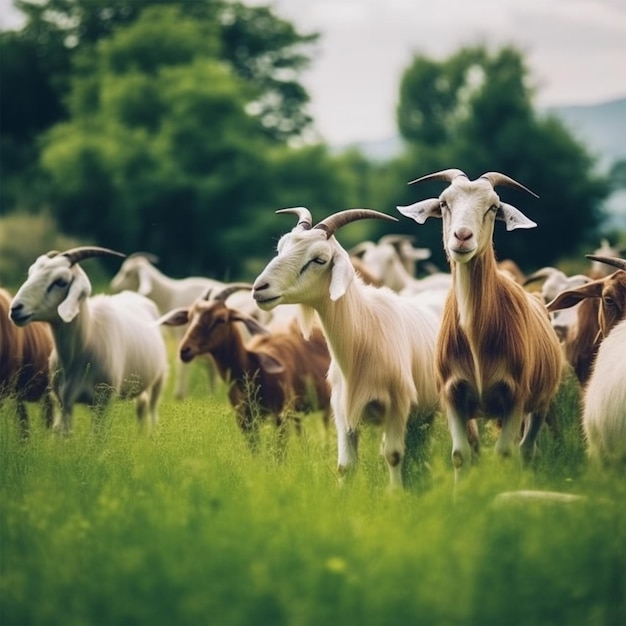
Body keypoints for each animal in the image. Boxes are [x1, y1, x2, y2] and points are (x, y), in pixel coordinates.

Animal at [9, 246, 168, 432]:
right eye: (31, 272)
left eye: (61, 281)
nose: (16, 309)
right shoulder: (64, 402)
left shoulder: (102, 402)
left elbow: (98, 435)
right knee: (142, 407)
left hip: (160, 378)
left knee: (152, 410)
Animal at [157, 282, 332, 448]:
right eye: (190, 317)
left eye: (221, 319)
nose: (185, 350)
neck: (254, 369)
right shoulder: (245, 422)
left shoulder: (280, 417)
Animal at [250, 206, 438, 488]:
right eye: (281, 247)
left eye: (319, 259)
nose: (260, 288)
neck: (363, 335)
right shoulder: (343, 411)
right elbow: (345, 466)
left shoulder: (397, 405)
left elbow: (393, 455)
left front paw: (396, 494)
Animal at [398, 167, 564, 478]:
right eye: (443, 203)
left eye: (494, 207)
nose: (462, 236)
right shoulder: (452, 393)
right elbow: (460, 454)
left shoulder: (515, 395)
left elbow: (505, 453)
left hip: (541, 401)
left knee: (527, 449)